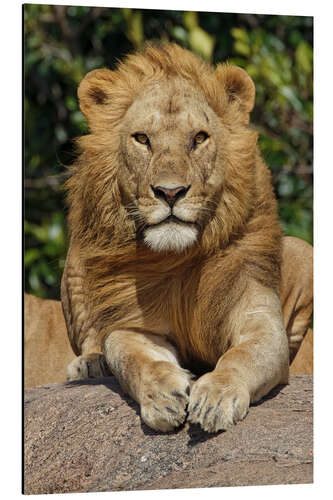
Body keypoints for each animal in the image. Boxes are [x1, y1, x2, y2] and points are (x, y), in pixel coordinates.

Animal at [61, 44, 312, 434]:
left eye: (199, 138)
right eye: (142, 138)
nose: (170, 192)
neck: (177, 258)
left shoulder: (259, 318)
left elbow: (242, 355)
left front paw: (217, 398)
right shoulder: (132, 325)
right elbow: (134, 358)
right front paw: (162, 396)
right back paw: (89, 364)